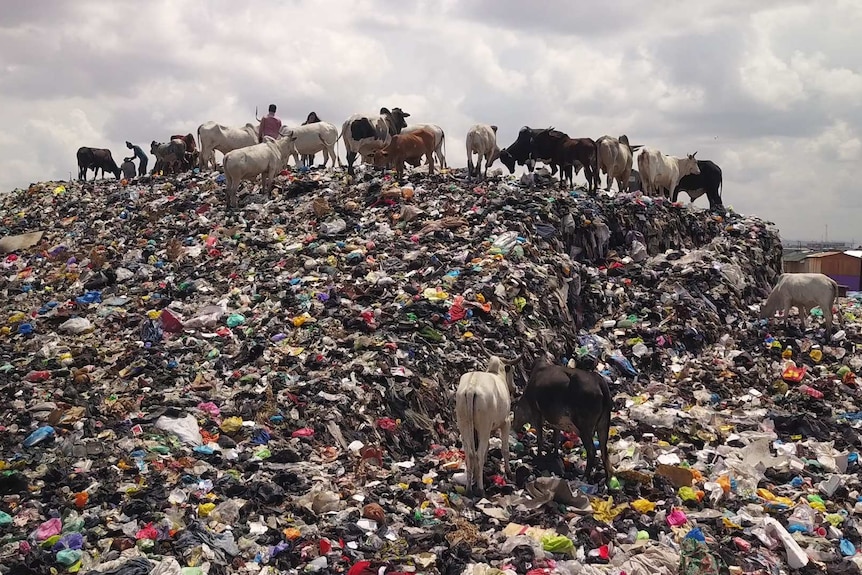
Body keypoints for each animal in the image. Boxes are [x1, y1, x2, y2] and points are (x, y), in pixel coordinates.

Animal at [460, 354, 520, 498]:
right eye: (512, 371)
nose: (515, 389)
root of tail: (471, 389)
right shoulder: (505, 422)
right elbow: (505, 449)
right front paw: (509, 473)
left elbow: (487, 446)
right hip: (484, 426)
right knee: (478, 454)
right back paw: (480, 489)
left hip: (464, 424)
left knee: (470, 454)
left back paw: (469, 488)